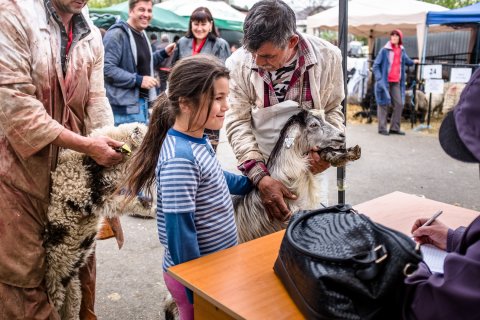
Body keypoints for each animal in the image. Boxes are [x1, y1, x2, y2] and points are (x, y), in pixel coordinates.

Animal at [43, 122, 156, 320]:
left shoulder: (102, 198)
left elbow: (127, 202)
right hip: (56, 286)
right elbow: (123, 202)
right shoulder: (83, 193)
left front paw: (151, 207)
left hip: (71, 287)